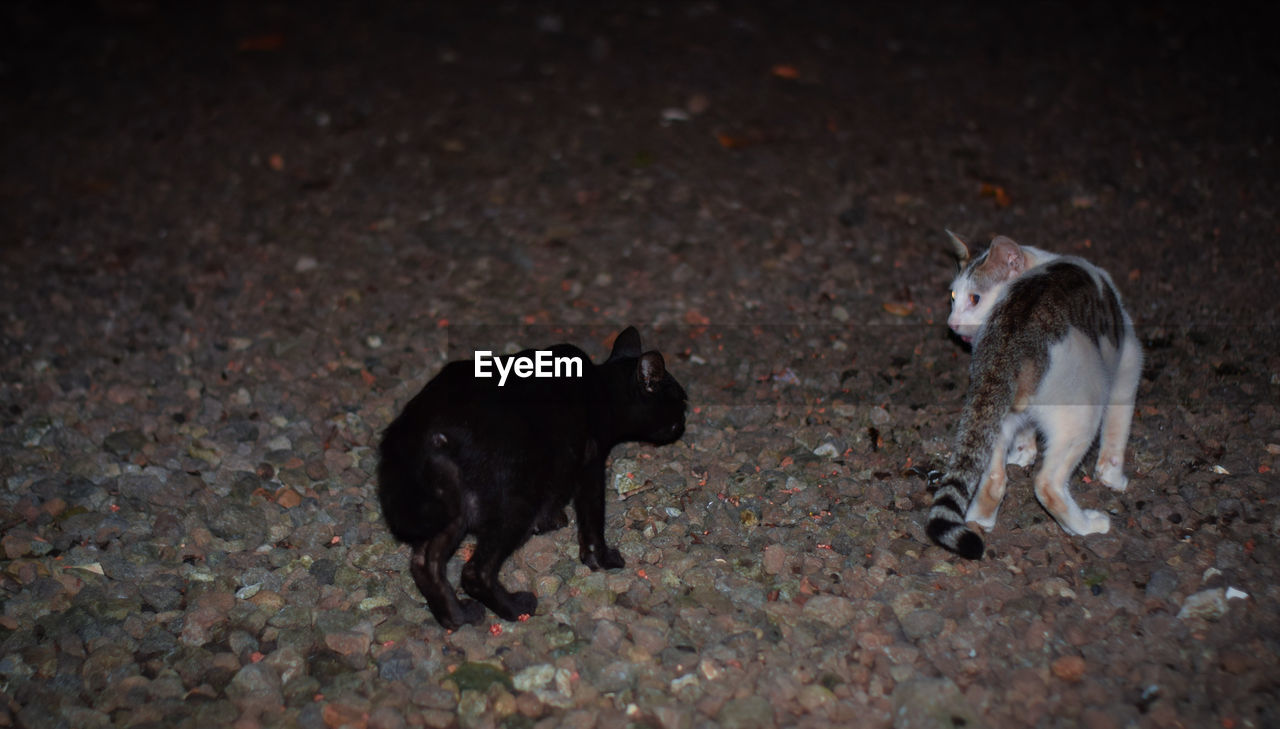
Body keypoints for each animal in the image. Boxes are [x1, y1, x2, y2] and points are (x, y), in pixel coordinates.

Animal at [373, 323, 686, 624]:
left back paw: (457, 617)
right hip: (516, 500)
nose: (685, 420)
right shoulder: (590, 463)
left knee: (425, 563)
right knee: (474, 572)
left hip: (450, 510)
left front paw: (550, 521)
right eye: (681, 401)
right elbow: (592, 521)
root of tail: (421, 431)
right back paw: (514, 608)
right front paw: (602, 560)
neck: (603, 391)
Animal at [931, 232, 1141, 555]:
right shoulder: (1127, 363)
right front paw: (1112, 477)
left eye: (974, 298)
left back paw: (980, 519)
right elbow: (1117, 431)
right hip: (1083, 410)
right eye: (953, 297)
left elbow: (1025, 432)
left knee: (993, 476)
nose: (952, 324)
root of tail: (1007, 344)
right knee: (1047, 484)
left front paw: (1022, 453)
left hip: (992, 411)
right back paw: (1085, 526)